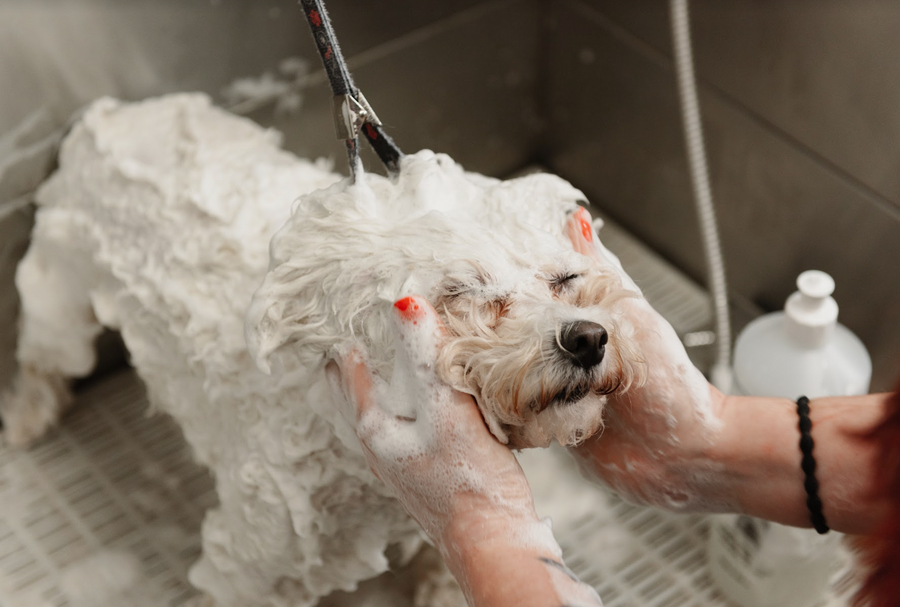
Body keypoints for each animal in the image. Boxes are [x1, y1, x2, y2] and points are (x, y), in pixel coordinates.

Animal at [1, 95, 648, 607]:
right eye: (460, 292)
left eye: (564, 279)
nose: (586, 339)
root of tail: (106, 113)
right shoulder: (247, 565)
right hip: (59, 300)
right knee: (42, 357)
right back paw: (26, 418)